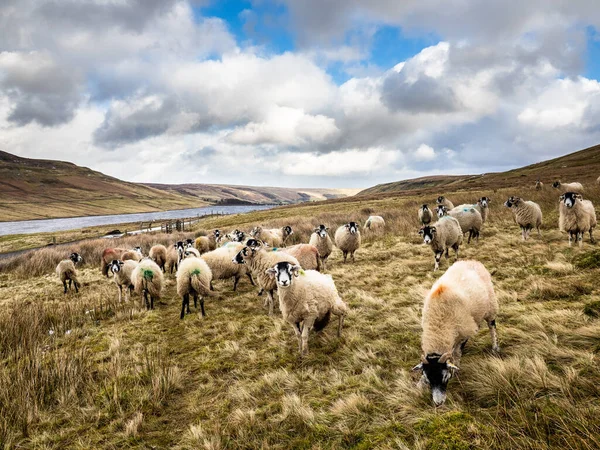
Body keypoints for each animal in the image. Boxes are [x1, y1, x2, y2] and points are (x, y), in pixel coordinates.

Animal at [410, 258, 500, 406]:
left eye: (445, 376)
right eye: (428, 380)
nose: (438, 403)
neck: (439, 328)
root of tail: (471, 261)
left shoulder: (463, 331)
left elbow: (457, 352)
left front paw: (456, 368)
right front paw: (419, 384)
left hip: (491, 306)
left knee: (492, 327)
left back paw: (495, 347)